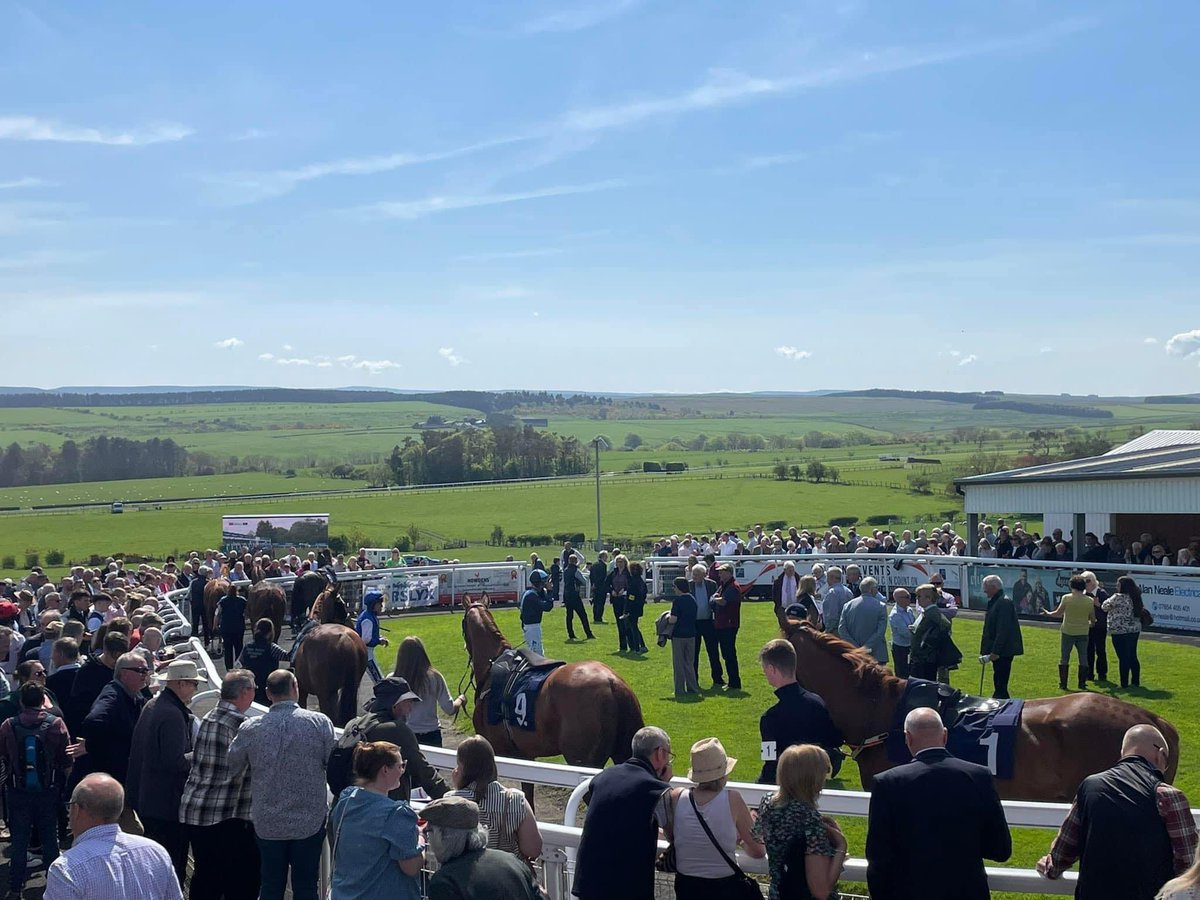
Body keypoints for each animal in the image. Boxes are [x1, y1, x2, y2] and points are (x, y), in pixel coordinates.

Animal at [460, 595, 648, 763]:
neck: (494, 662)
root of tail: (612, 683)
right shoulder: (524, 753)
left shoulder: (501, 751)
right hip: (624, 749)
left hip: (583, 759)